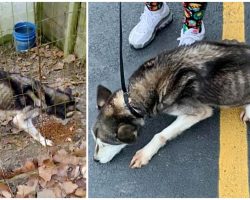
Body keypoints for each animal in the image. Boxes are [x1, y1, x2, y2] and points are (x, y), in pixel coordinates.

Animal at [93, 40, 250, 169]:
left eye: (104, 144)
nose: (95, 160)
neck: (131, 99)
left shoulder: (200, 111)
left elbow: (161, 134)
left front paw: (145, 153)